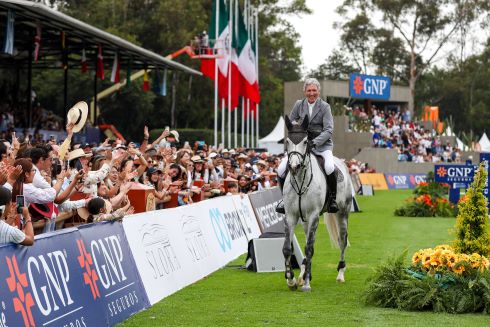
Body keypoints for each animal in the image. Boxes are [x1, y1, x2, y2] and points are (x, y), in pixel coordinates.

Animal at [284, 115, 352, 292]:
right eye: (287, 141)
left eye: (305, 141)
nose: (294, 167)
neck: (300, 180)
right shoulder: (291, 215)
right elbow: (287, 248)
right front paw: (291, 280)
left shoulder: (314, 214)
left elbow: (309, 248)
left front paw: (307, 283)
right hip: (305, 220)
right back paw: (302, 273)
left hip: (342, 213)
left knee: (342, 240)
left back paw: (340, 274)